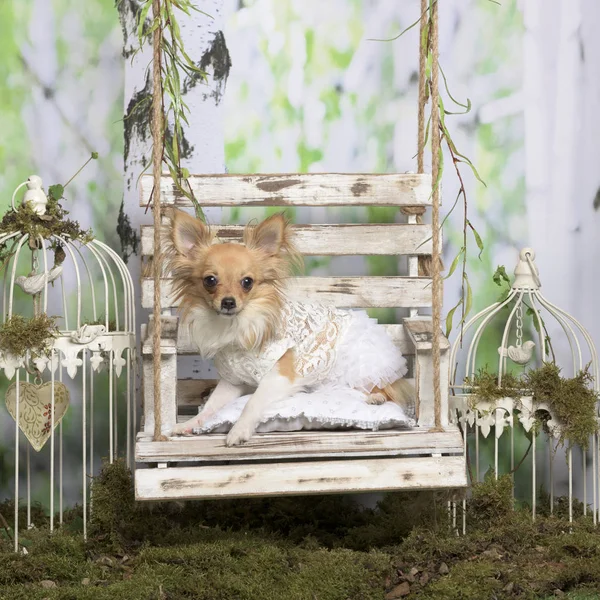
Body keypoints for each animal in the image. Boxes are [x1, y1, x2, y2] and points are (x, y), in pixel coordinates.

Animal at [168, 211, 412, 446]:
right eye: (210, 280)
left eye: (247, 282)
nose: (228, 302)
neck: (238, 326)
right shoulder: (233, 381)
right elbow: (211, 405)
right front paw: (190, 423)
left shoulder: (281, 374)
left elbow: (252, 401)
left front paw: (239, 430)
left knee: (386, 388)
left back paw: (376, 397)